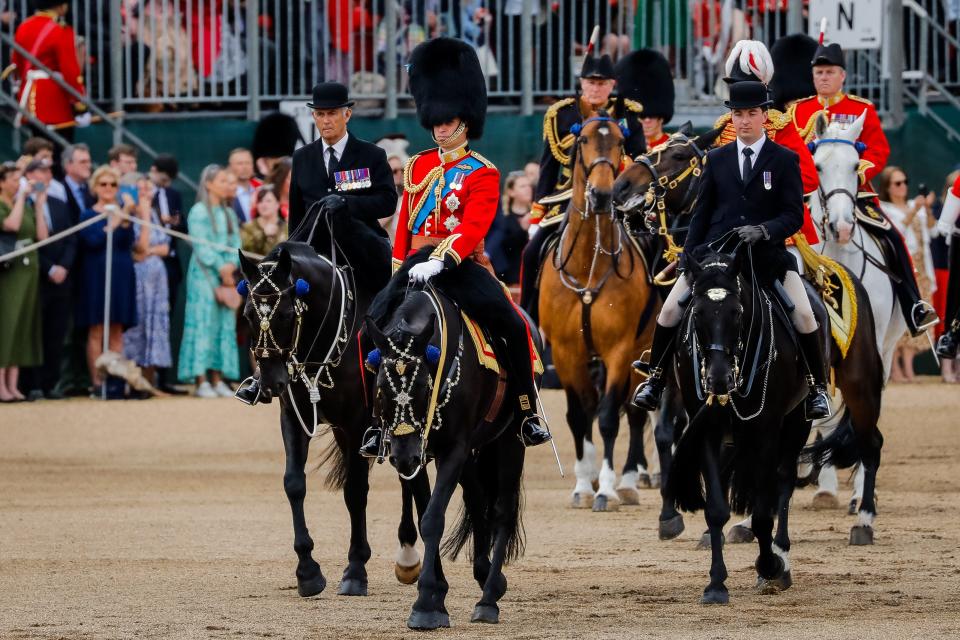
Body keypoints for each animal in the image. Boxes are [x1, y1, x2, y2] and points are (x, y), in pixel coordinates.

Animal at [238, 244, 430, 600]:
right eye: (247, 315)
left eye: (286, 314)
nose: (271, 383)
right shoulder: (295, 418)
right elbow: (294, 484)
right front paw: (307, 572)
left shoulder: (356, 425)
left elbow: (355, 491)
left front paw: (355, 569)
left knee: (412, 479)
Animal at [366, 284, 532, 632]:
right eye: (381, 389)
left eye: (423, 387)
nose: (405, 456)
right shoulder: (422, 455)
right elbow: (425, 515)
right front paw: (436, 595)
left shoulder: (453, 449)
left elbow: (433, 519)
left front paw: (425, 604)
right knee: (477, 499)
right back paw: (484, 574)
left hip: (510, 442)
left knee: (502, 510)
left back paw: (488, 600)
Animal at [536, 114, 664, 510]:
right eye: (584, 141)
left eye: (621, 142)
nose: (604, 195)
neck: (588, 267)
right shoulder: (567, 353)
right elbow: (579, 416)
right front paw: (583, 483)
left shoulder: (619, 350)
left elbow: (608, 417)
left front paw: (606, 487)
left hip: (643, 350)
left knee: (635, 413)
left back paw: (629, 481)